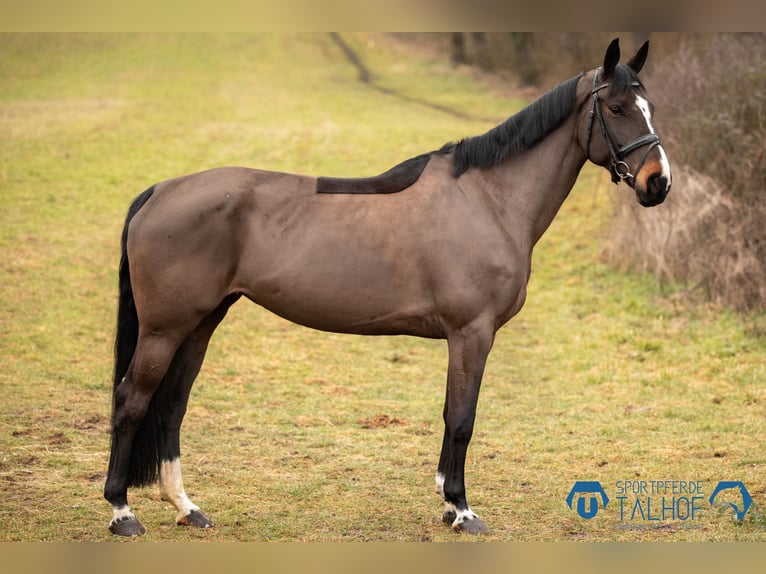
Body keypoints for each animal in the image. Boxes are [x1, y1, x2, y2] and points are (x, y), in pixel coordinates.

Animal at [106, 38, 672, 536]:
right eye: (617, 108)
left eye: (650, 107)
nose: (658, 183)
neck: (489, 199)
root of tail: (160, 192)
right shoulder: (472, 333)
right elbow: (462, 418)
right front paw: (462, 510)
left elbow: (449, 414)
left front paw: (446, 501)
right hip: (164, 329)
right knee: (132, 400)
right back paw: (122, 512)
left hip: (200, 324)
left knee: (172, 406)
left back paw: (187, 507)